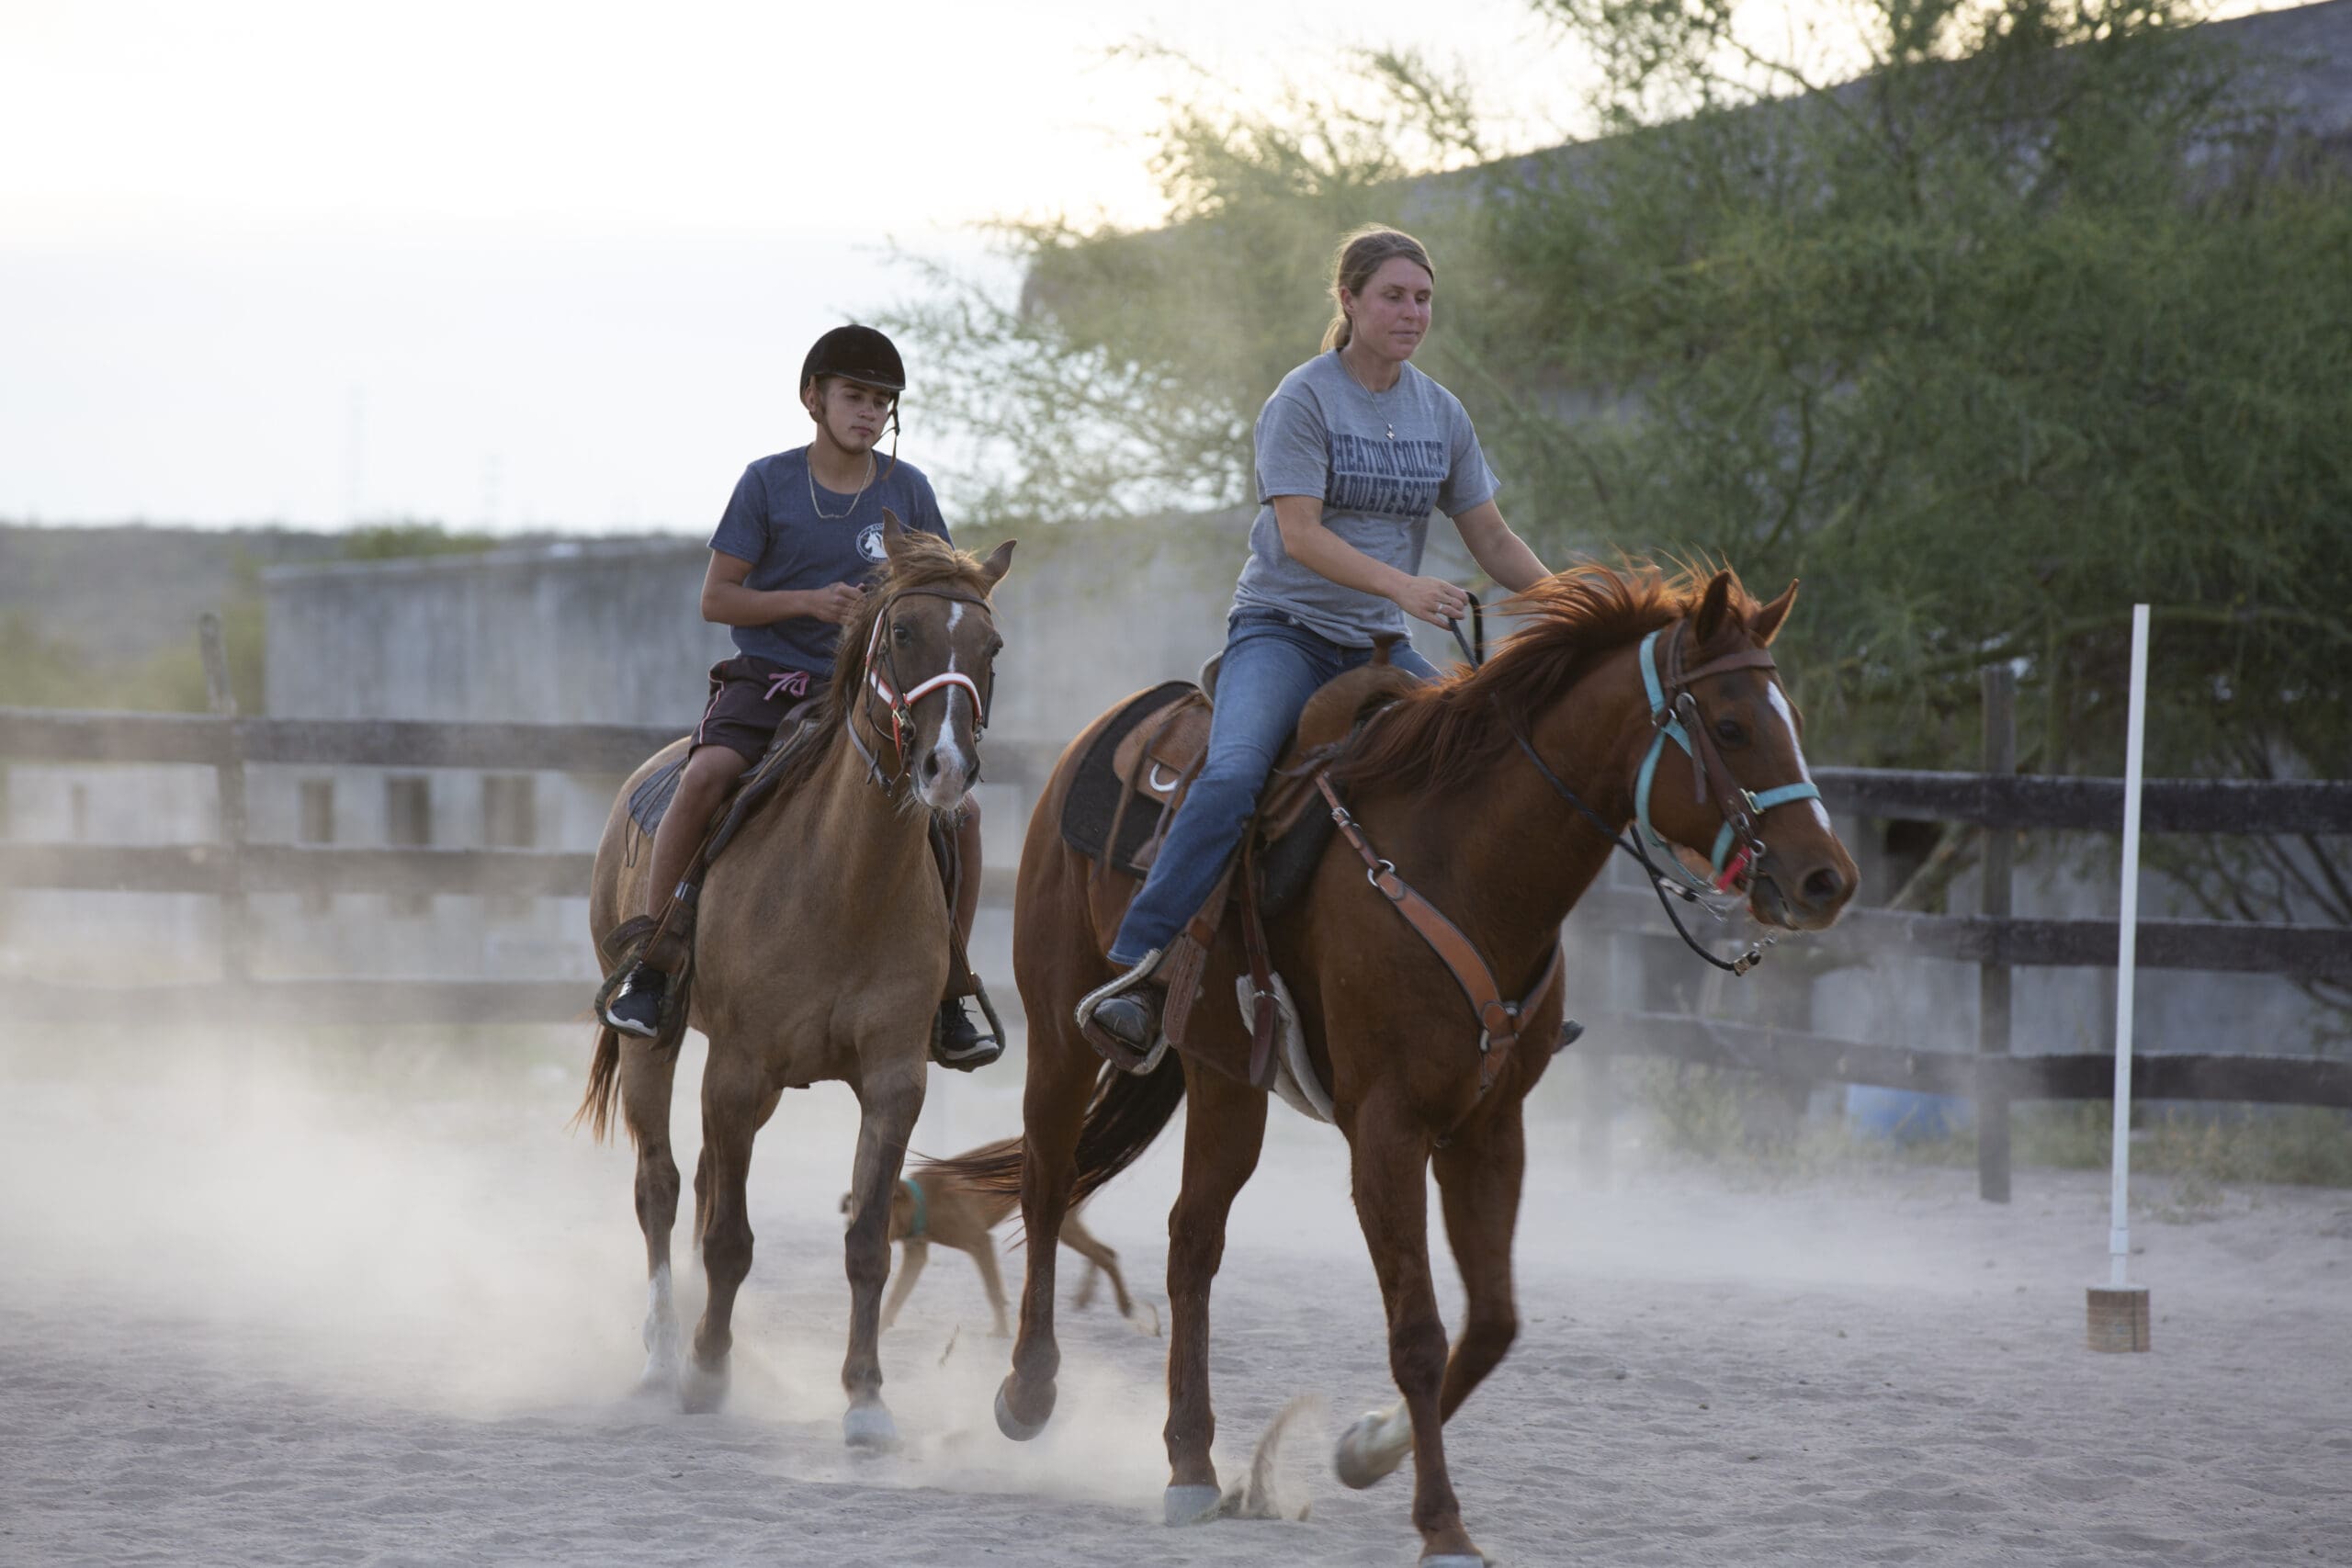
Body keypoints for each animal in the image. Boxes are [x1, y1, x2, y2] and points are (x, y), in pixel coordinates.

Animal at [576, 517, 1011, 1448]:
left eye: (991, 645)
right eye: (902, 631)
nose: (947, 769)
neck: (843, 879)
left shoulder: (892, 1081)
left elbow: (867, 1243)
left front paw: (866, 1398)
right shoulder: (737, 1071)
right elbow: (729, 1236)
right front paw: (707, 1371)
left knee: (703, 1181)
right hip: (659, 1045)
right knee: (663, 1186)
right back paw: (663, 1352)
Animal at [851, 1152, 1161, 1335]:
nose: (857, 1235)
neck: (922, 1198)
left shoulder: (980, 1242)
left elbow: (993, 1290)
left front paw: (1000, 1332)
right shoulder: (916, 1253)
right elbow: (897, 1294)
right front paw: (880, 1326)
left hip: (1063, 1223)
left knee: (1105, 1256)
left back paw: (1123, 1303)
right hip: (1069, 1225)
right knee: (1105, 1252)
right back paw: (1087, 1296)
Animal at [945, 561, 1844, 1561]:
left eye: (1789, 719)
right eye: (1729, 724)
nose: (1826, 880)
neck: (1462, 859)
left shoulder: (1489, 1128)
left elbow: (1491, 1323)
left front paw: (1366, 1448)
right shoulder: (1386, 1127)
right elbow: (1417, 1329)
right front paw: (1442, 1524)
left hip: (1227, 1078)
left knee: (1192, 1240)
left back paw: (1191, 1465)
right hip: (1062, 1035)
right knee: (1047, 1182)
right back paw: (1029, 1394)